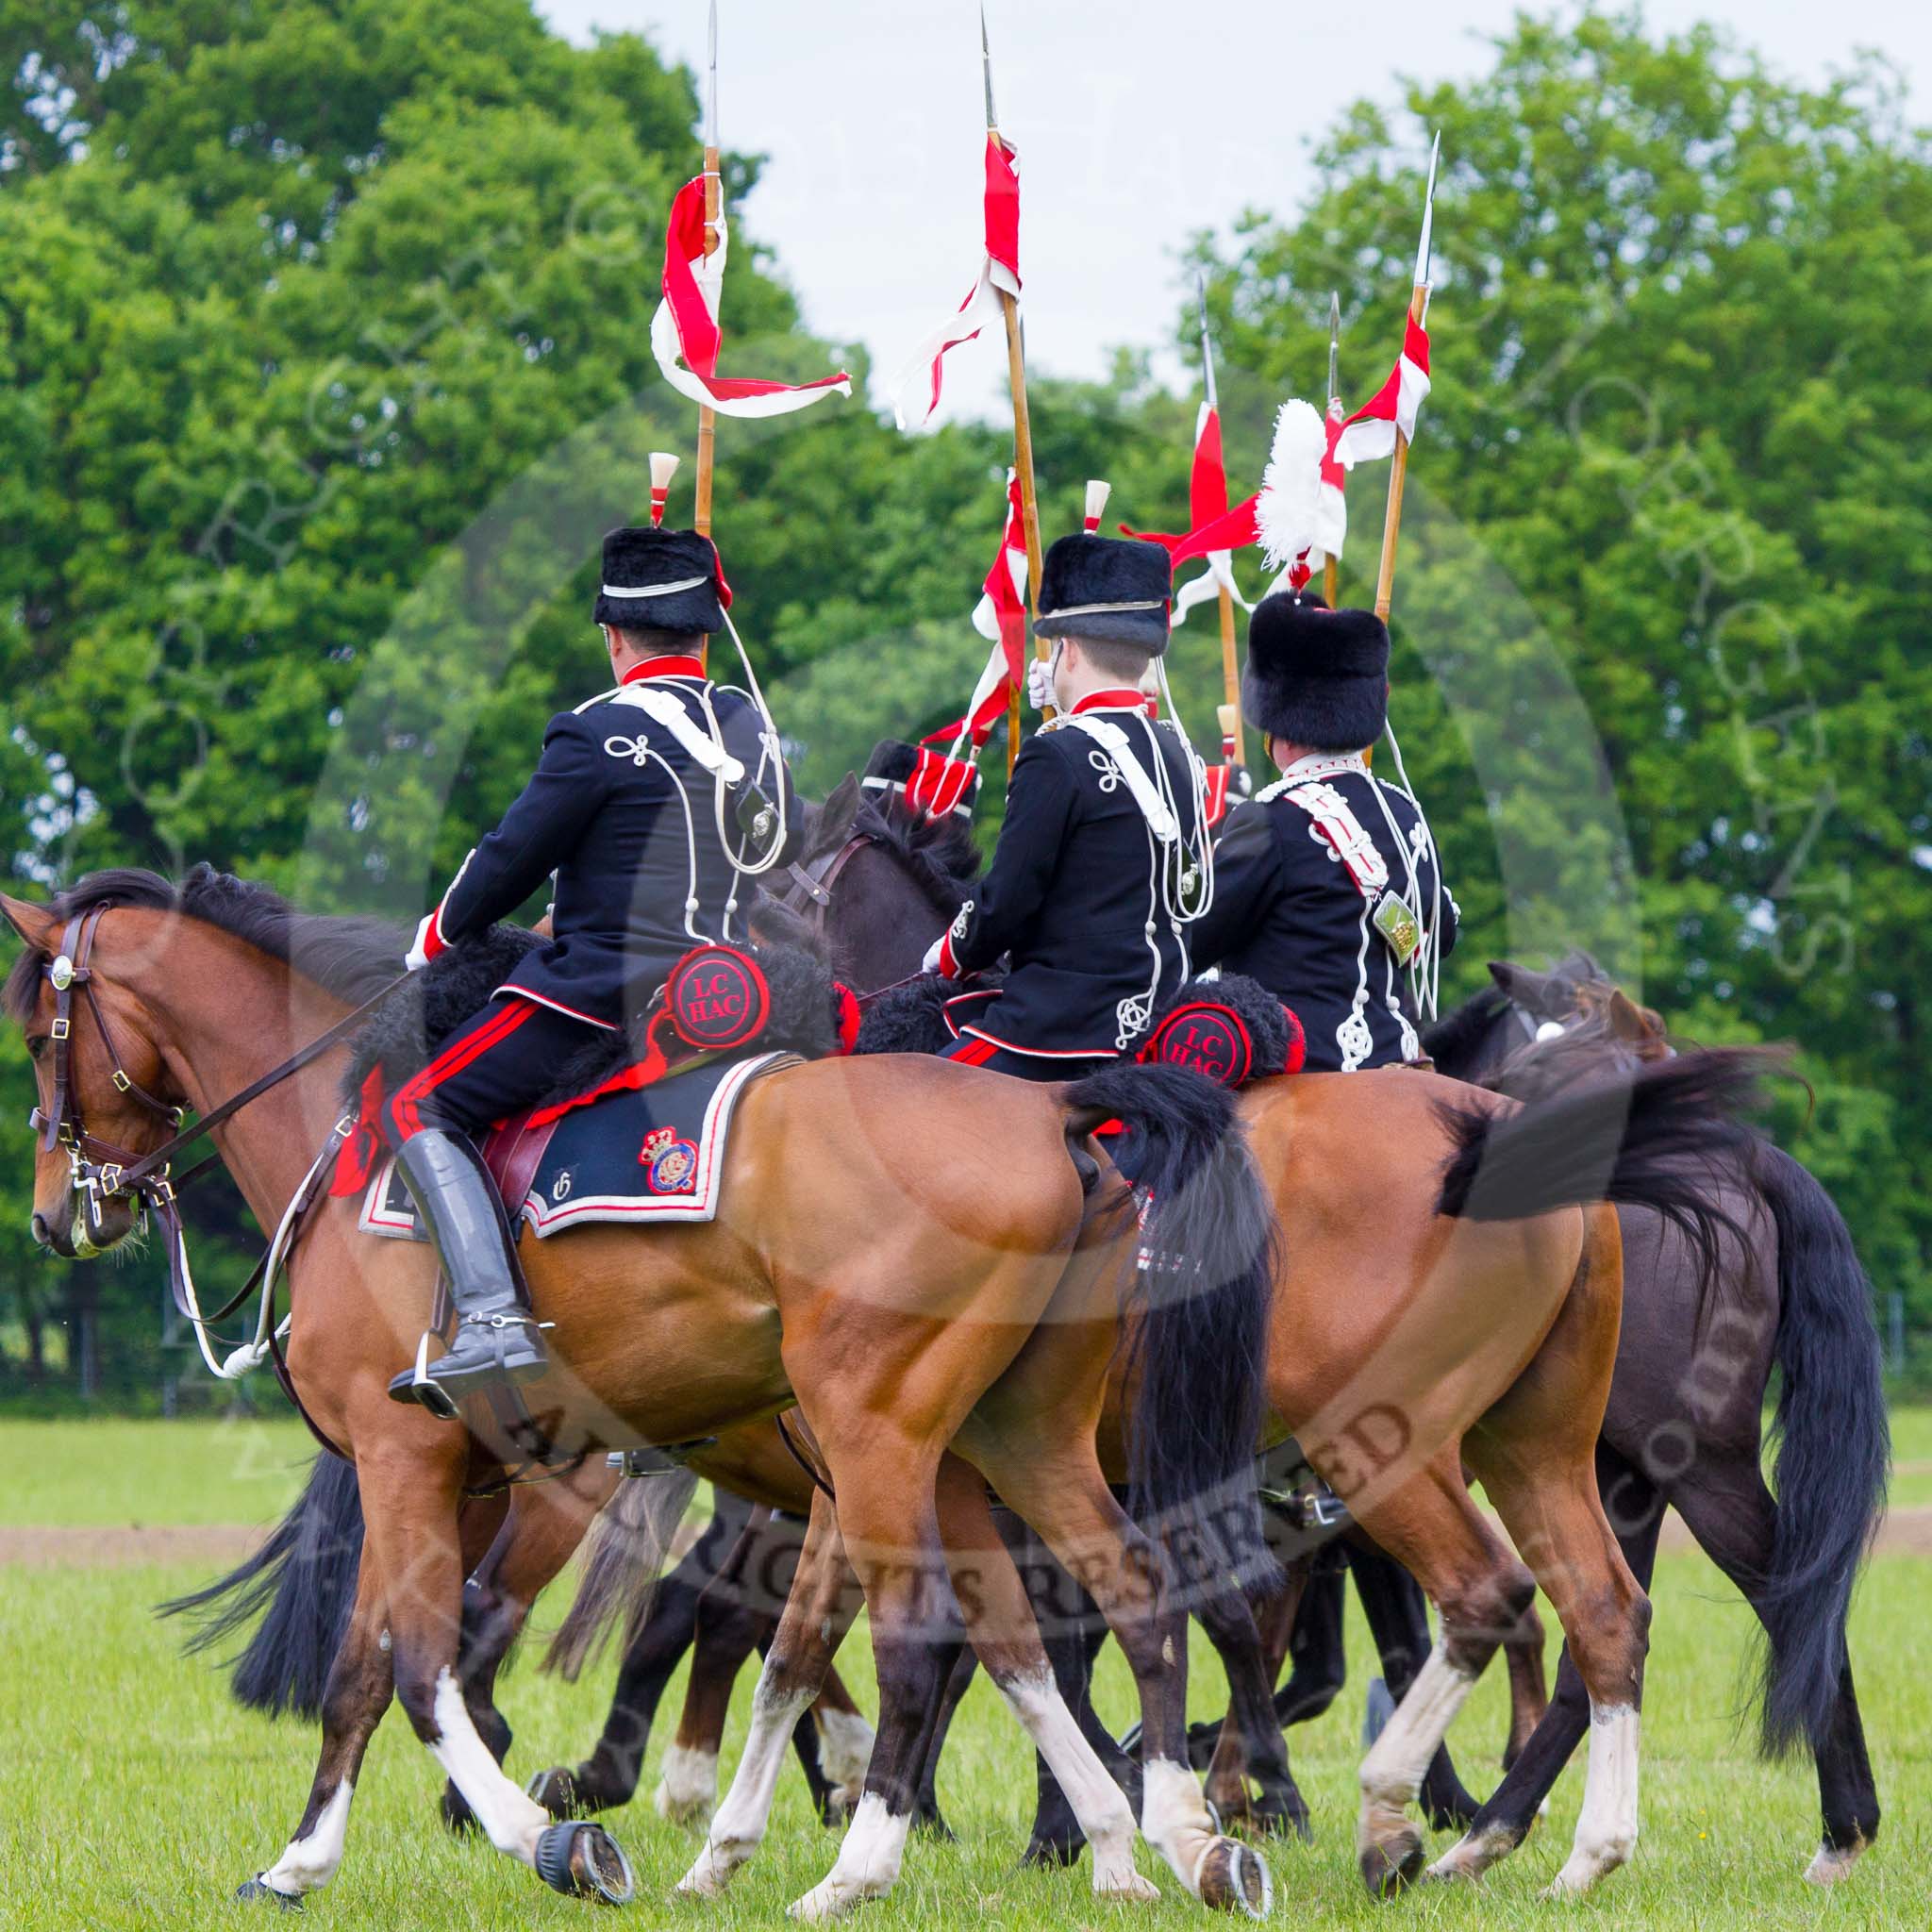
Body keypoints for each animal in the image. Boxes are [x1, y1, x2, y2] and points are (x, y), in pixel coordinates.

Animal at [11, 873, 1298, 1916]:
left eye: (35, 1032)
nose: (59, 1213)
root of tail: (1050, 1110)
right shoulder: (419, 1471)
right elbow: (359, 1676)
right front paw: (298, 1863)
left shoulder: (405, 1460)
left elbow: (425, 1667)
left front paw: (554, 1837)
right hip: (1004, 1436)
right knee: (1120, 1596)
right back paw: (1163, 1845)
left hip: (877, 1439)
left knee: (928, 1634)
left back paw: (860, 1869)